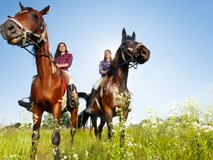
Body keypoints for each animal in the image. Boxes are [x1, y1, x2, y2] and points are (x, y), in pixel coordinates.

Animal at [0, 2, 78, 160]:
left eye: (36, 16)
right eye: (16, 14)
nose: (6, 28)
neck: (46, 77)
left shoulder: (56, 108)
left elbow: (56, 138)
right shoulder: (37, 109)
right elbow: (35, 138)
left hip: (73, 112)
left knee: (72, 132)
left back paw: (71, 151)